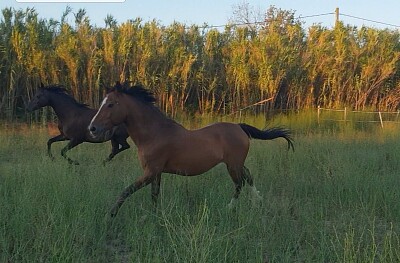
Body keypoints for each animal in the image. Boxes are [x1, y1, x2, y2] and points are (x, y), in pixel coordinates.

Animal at [88, 83, 294, 219]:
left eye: (111, 104)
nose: (92, 128)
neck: (154, 134)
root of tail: (239, 127)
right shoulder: (156, 173)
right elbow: (154, 195)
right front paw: (154, 216)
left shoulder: (150, 172)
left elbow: (126, 191)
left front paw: (111, 214)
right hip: (237, 163)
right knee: (248, 177)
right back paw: (257, 201)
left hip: (233, 165)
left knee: (239, 184)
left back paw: (230, 208)